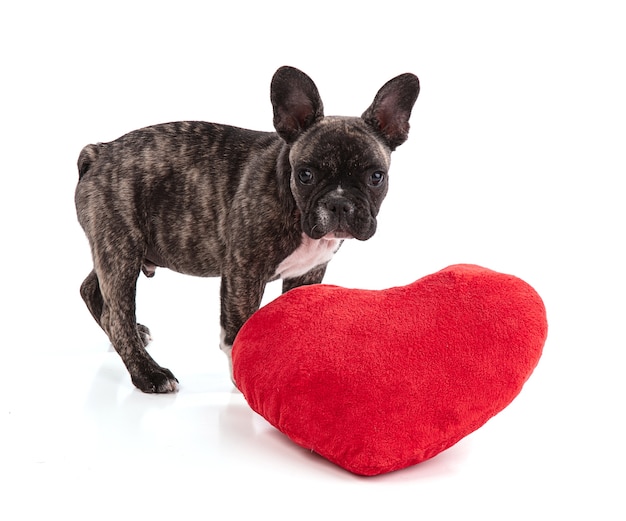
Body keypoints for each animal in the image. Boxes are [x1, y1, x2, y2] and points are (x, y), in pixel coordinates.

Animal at [75, 64, 416, 390]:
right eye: (305, 174)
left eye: (376, 177)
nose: (339, 203)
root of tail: (99, 152)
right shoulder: (244, 273)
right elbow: (239, 328)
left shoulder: (308, 273)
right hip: (120, 249)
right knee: (116, 314)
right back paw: (149, 373)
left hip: (116, 250)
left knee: (92, 290)